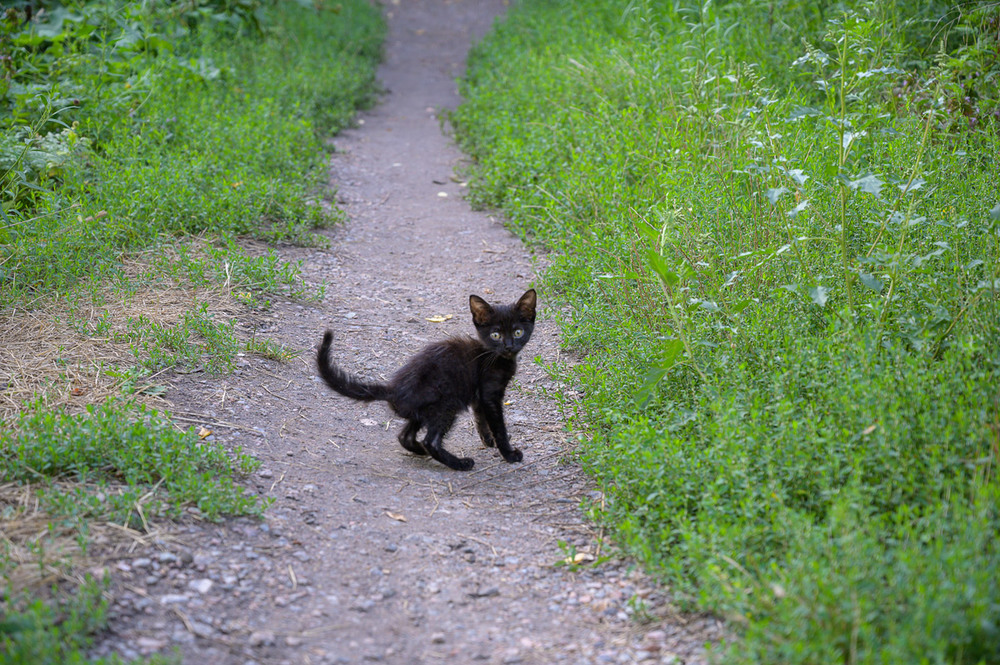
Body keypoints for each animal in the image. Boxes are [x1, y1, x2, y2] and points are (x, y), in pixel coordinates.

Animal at [318, 288, 540, 470]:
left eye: (517, 332)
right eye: (495, 335)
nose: (509, 346)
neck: (493, 355)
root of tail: (393, 389)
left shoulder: (479, 395)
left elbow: (480, 418)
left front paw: (488, 440)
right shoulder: (490, 392)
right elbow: (498, 425)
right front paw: (508, 453)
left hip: (424, 411)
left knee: (405, 436)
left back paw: (420, 451)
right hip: (447, 403)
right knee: (430, 441)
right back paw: (459, 463)